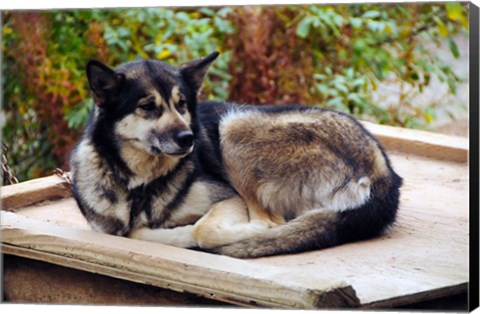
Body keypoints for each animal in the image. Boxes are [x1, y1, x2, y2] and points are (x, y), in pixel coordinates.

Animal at [69, 51, 404, 258]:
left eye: (182, 104)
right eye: (147, 106)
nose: (189, 138)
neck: (141, 183)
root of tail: (384, 173)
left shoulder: (228, 198)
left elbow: (198, 229)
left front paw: (186, 235)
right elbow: (130, 233)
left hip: (234, 126)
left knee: (271, 223)